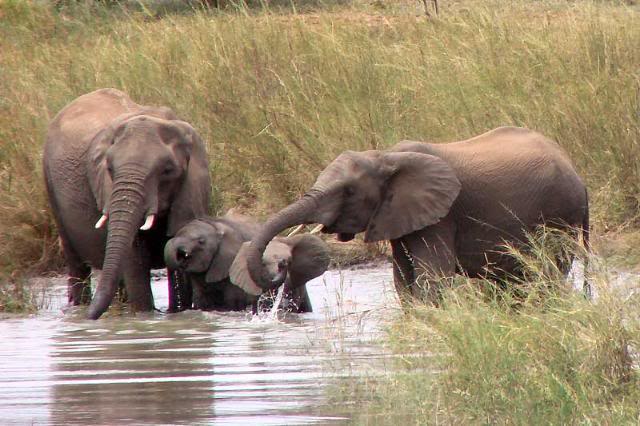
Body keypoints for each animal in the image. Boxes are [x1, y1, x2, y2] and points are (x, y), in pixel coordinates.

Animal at [43, 88, 212, 318]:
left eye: (168, 171)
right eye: (110, 169)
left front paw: (176, 313)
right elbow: (134, 261)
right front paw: (143, 317)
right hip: (51, 188)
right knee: (78, 265)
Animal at [164, 213, 330, 312]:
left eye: (201, 241)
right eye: (177, 234)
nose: (180, 255)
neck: (216, 225)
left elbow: (232, 302)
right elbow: (201, 302)